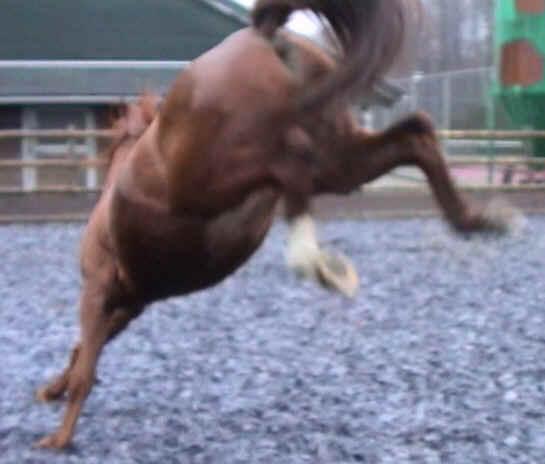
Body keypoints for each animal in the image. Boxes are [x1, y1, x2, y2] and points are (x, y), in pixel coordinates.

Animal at [35, 0, 516, 450]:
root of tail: (263, 35)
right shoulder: (130, 302)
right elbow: (85, 351)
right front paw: (54, 389)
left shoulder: (99, 289)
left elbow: (86, 358)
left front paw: (58, 437)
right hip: (336, 158)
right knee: (414, 136)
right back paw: (481, 220)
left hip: (220, 173)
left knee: (292, 164)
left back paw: (318, 263)